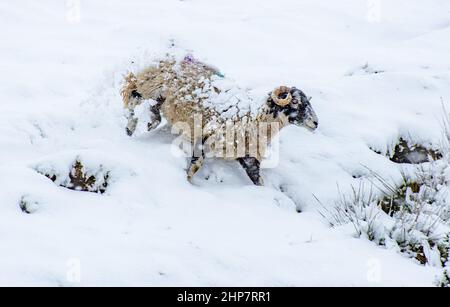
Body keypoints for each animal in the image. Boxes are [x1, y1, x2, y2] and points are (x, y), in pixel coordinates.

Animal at [119, 54, 316, 186]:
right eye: (296, 102)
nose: (316, 123)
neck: (254, 119)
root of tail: (167, 58)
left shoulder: (249, 158)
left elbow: (258, 180)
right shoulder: (208, 136)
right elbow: (196, 164)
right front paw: (187, 182)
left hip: (162, 98)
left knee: (152, 107)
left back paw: (151, 122)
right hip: (150, 86)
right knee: (133, 96)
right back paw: (130, 128)